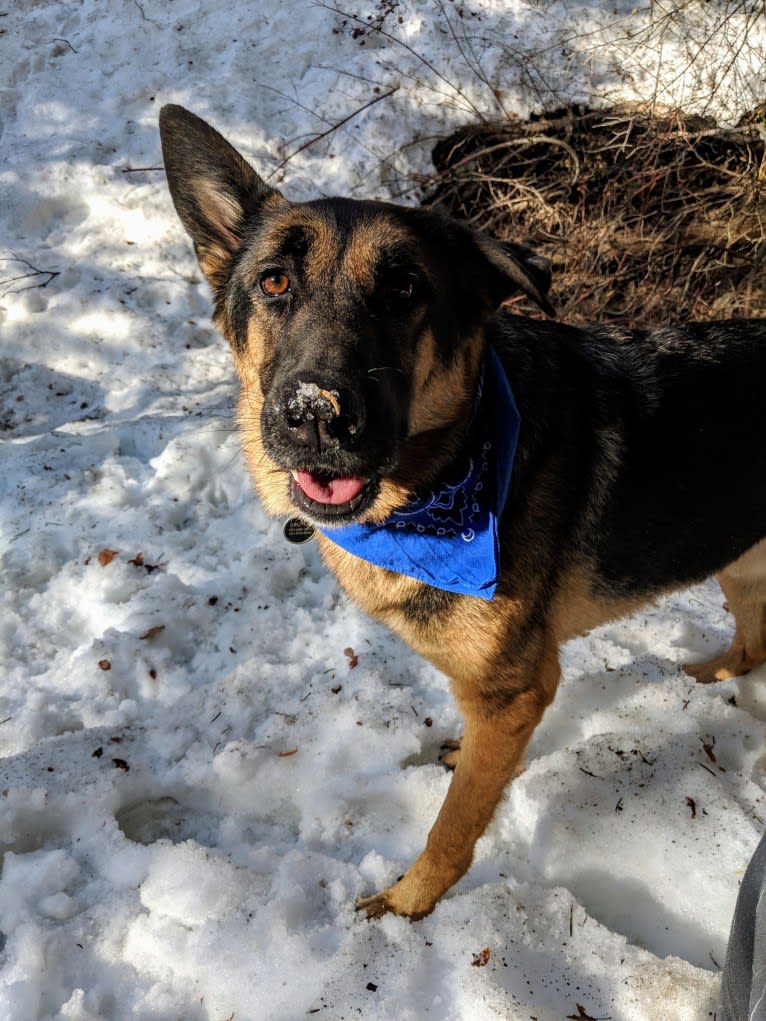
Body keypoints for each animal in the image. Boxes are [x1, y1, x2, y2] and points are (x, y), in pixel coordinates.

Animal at [160, 105, 766, 927]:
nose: (316, 413)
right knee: (754, 640)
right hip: (734, 555)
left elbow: (453, 825)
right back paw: (706, 674)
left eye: (404, 288)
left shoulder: (513, 693)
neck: (443, 482)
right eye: (274, 281)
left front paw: (410, 904)